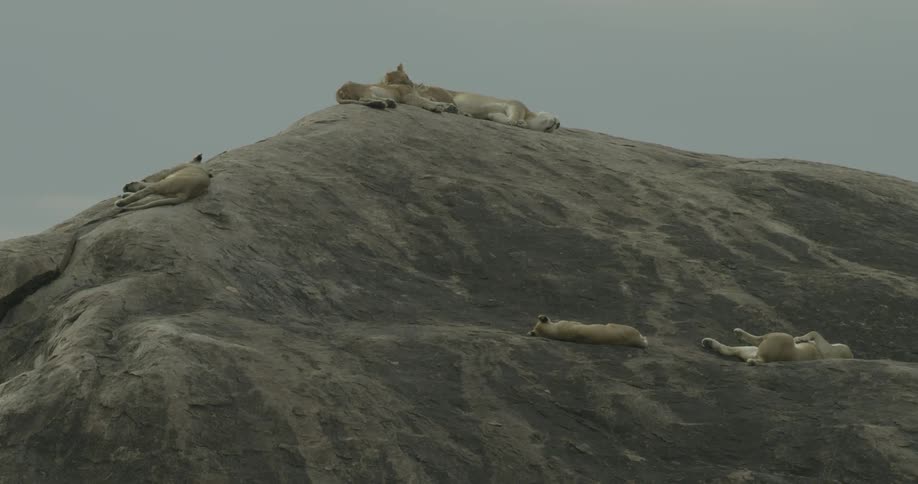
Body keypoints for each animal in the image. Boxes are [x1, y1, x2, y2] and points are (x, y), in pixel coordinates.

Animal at [382, 63, 561, 133]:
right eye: (556, 118)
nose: (557, 124)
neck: (530, 115)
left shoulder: (494, 114)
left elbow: (495, 116)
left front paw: (511, 121)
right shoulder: (516, 103)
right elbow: (514, 109)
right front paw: (518, 121)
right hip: (444, 92)